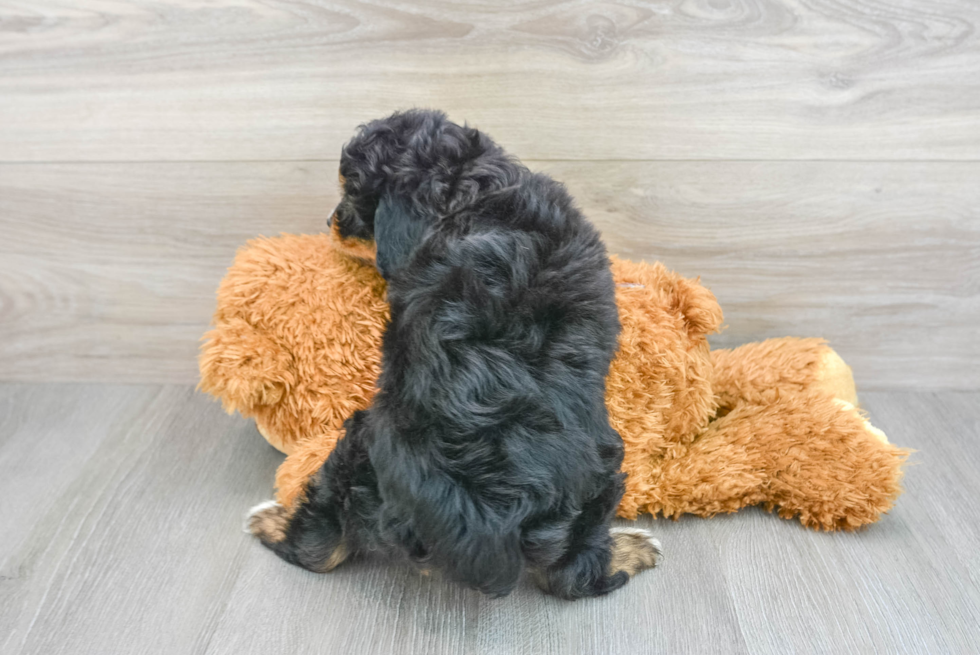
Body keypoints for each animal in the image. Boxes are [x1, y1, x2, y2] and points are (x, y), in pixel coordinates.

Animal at [245, 109, 664, 600]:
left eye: (350, 198)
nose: (330, 219)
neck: (472, 189)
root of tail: (471, 500)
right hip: (598, 474)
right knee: (572, 575)